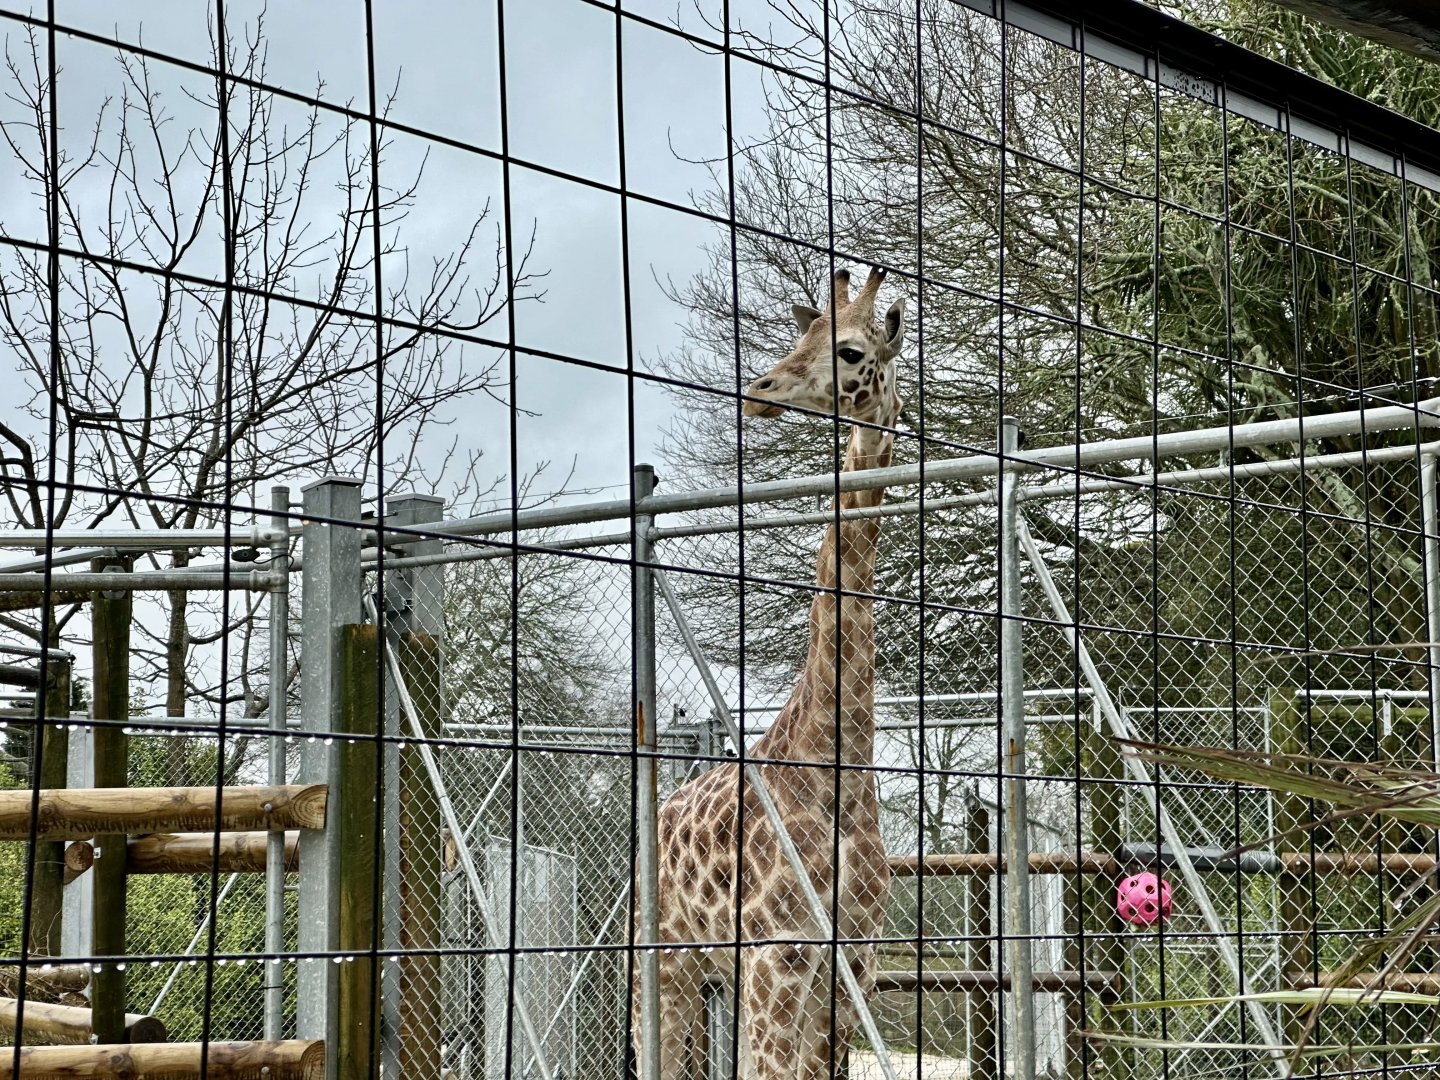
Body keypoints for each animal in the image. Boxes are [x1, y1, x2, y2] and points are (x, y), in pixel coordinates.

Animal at [638, 266, 906, 1080]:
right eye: (801, 335)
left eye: (850, 351)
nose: (757, 389)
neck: (836, 759)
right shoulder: (774, 957)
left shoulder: (850, 969)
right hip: (664, 962)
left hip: (709, 973)